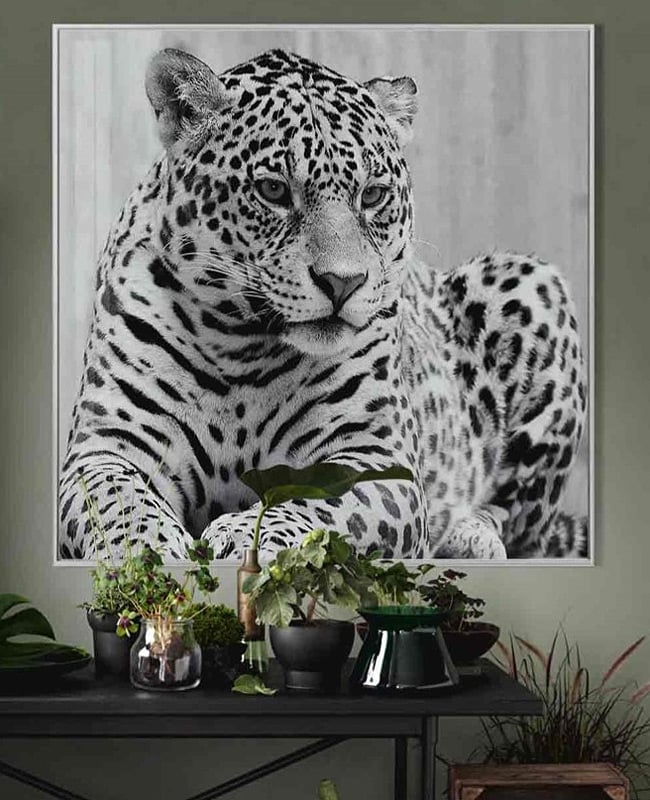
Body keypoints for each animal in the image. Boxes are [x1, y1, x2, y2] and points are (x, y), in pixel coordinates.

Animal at [58, 47, 588, 561]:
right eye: (273, 190)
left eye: (373, 195)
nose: (342, 283)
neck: (239, 346)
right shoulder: (106, 447)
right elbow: (118, 504)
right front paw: (152, 550)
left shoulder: (376, 456)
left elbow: (318, 504)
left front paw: (241, 536)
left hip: (531, 282)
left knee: (520, 526)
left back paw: (468, 536)